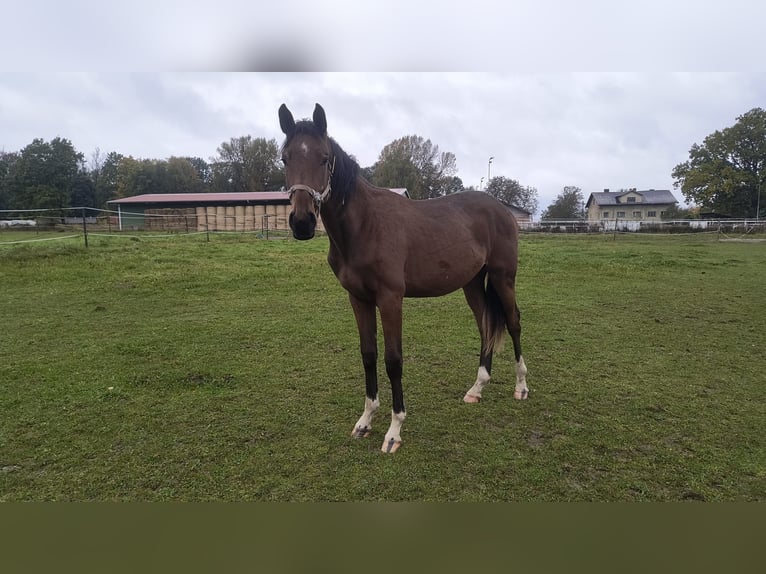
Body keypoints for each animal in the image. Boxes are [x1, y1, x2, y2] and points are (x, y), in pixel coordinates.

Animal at [278, 103, 528, 453]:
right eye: (285, 158)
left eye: (324, 158)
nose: (302, 222)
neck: (365, 225)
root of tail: (502, 209)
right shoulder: (359, 299)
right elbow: (368, 355)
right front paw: (365, 422)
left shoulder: (390, 299)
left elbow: (393, 360)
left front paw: (394, 431)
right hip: (472, 284)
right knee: (485, 326)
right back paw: (476, 389)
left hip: (503, 277)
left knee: (514, 321)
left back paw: (521, 386)